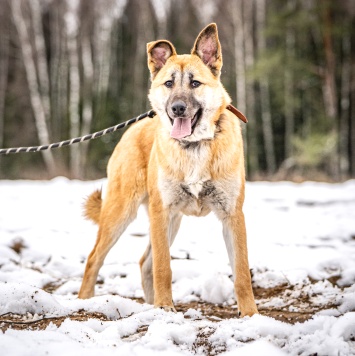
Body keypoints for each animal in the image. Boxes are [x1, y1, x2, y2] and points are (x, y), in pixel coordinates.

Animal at [78, 23, 258, 318]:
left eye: (195, 83)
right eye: (169, 83)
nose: (177, 108)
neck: (194, 146)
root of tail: (133, 127)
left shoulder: (232, 215)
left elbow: (241, 272)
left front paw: (250, 314)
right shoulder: (161, 212)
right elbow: (164, 267)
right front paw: (164, 306)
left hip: (170, 222)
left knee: (144, 262)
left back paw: (149, 305)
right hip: (123, 213)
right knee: (95, 259)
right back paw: (86, 301)